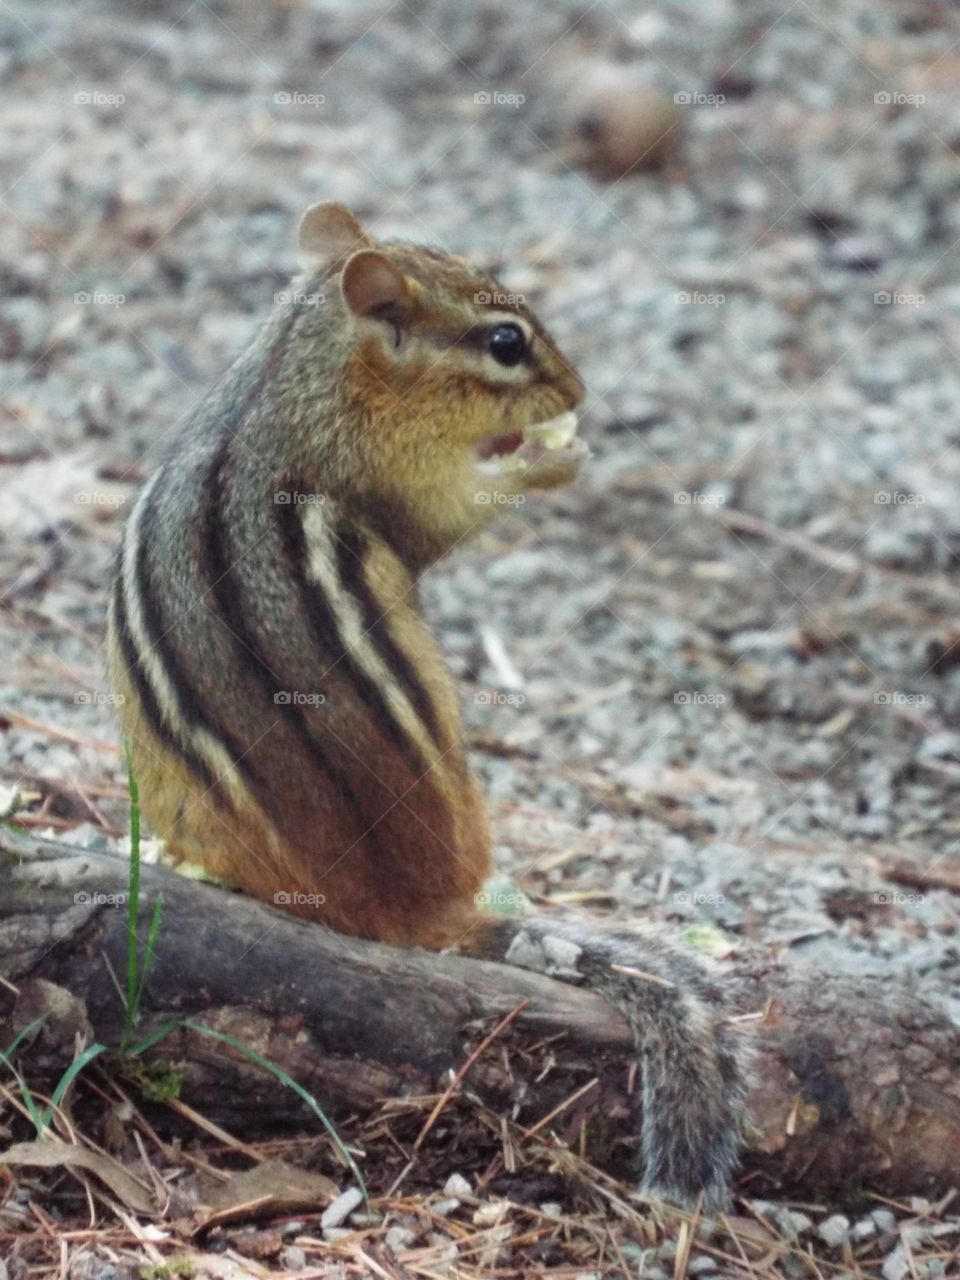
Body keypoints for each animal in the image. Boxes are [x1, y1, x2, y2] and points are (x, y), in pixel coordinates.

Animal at [107, 201, 744, 1207]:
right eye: (506, 342)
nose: (580, 389)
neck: (293, 377)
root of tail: (418, 910)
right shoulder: (398, 478)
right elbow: (451, 513)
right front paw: (551, 461)